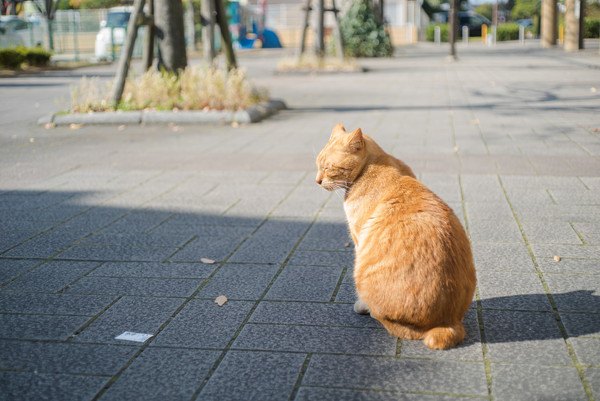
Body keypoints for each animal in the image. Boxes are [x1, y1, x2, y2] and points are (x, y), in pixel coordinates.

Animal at [316, 123, 476, 348]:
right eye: (317, 164)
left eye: (328, 168)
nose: (317, 181)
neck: (375, 164)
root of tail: (449, 321)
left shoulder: (358, 239)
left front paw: (361, 305)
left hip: (362, 272)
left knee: (400, 328)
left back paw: (370, 311)